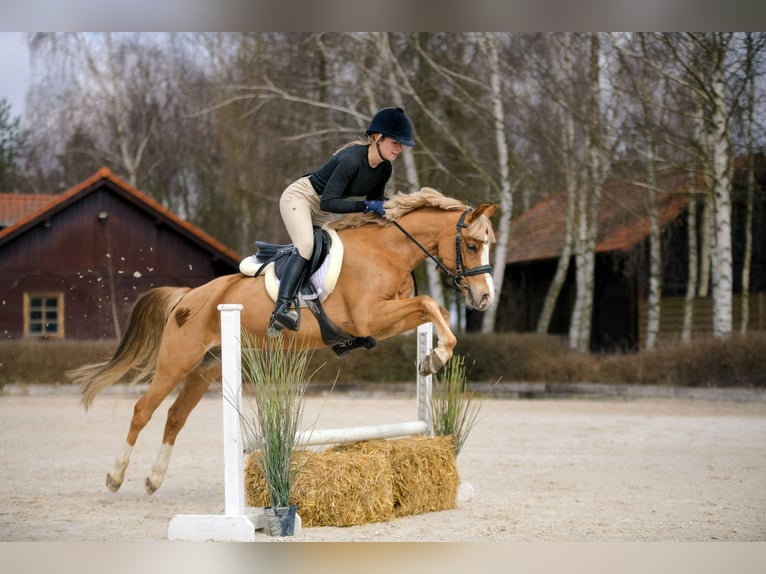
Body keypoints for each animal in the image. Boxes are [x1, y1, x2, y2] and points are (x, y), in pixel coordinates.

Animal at [68, 187, 498, 494]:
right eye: (472, 245)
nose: (484, 298)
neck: (387, 252)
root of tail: (188, 296)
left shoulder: (383, 320)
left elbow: (435, 311)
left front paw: (433, 357)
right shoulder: (370, 316)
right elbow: (429, 303)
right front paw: (436, 357)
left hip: (207, 367)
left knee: (176, 416)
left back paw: (154, 479)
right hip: (178, 359)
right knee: (144, 409)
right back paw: (115, 476)